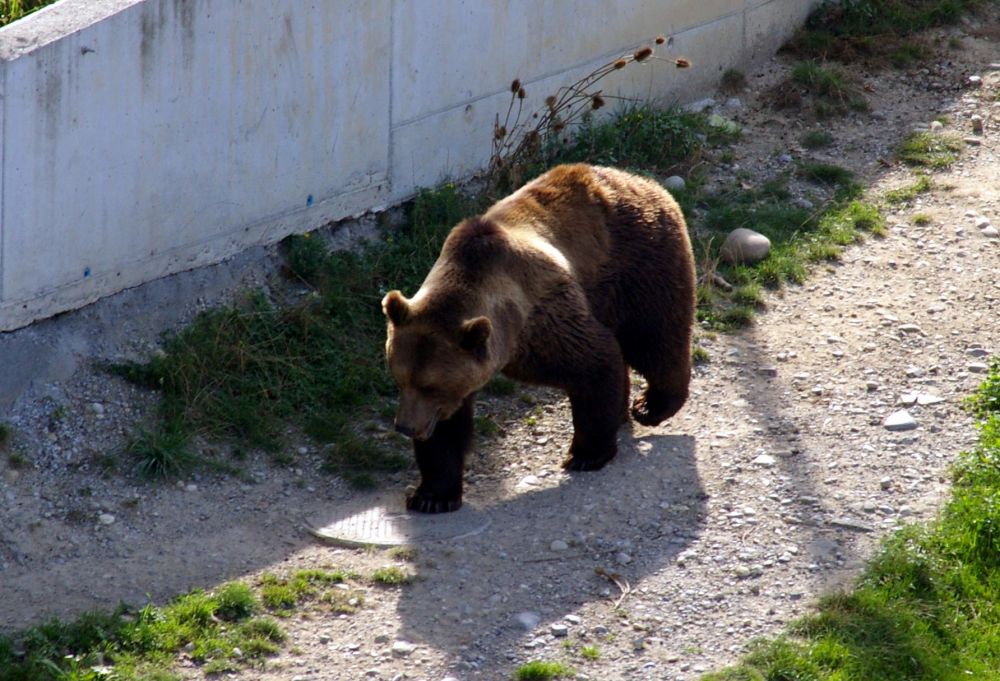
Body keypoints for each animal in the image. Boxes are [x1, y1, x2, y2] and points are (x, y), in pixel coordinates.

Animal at [382, 163, 696, 510]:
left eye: (431, 386)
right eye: (400, 379)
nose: (406, 427)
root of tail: (642, 181)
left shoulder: (541, 320)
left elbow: (594, 362)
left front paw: (585, 454)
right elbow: (447, 430)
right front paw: (431, 496)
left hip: (640, 260)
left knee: (655, 336)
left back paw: (652, 406)